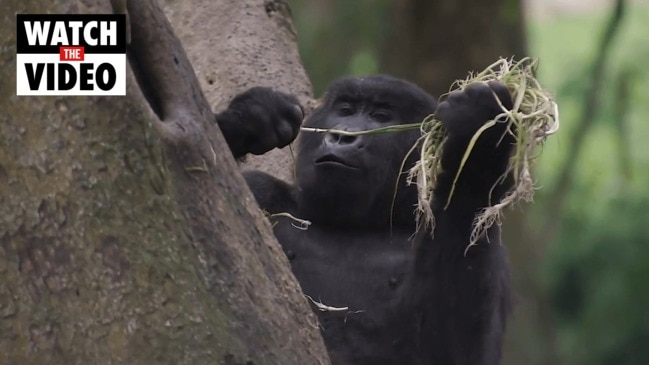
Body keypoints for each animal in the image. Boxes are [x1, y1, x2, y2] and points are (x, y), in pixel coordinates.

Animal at [215, 74, 512, 364]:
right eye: (345, 111)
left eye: (380, 116)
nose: (342, 136)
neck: (358, 223)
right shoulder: (260, 190)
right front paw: (250, 115)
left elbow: (454, 353)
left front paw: (479, 141)